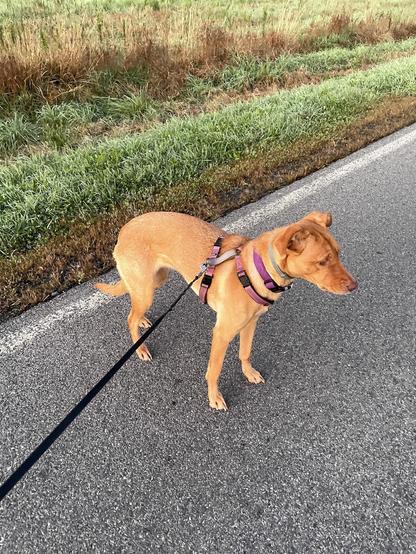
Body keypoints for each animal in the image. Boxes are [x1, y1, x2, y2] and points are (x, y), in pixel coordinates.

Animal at [95, 209, 358, 408]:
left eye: (338, 253)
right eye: (322, 261)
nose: (354, 287)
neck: (258, 269)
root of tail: (123, 231)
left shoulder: (251, 323)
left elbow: (245, 352)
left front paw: (249, 373)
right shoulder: (221, 333)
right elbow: (214, 370)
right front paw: (214, 397)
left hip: (155, 281)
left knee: (134, 307)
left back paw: (143, 322)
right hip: (147, 289)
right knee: (130, 317)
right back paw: (140, 347)